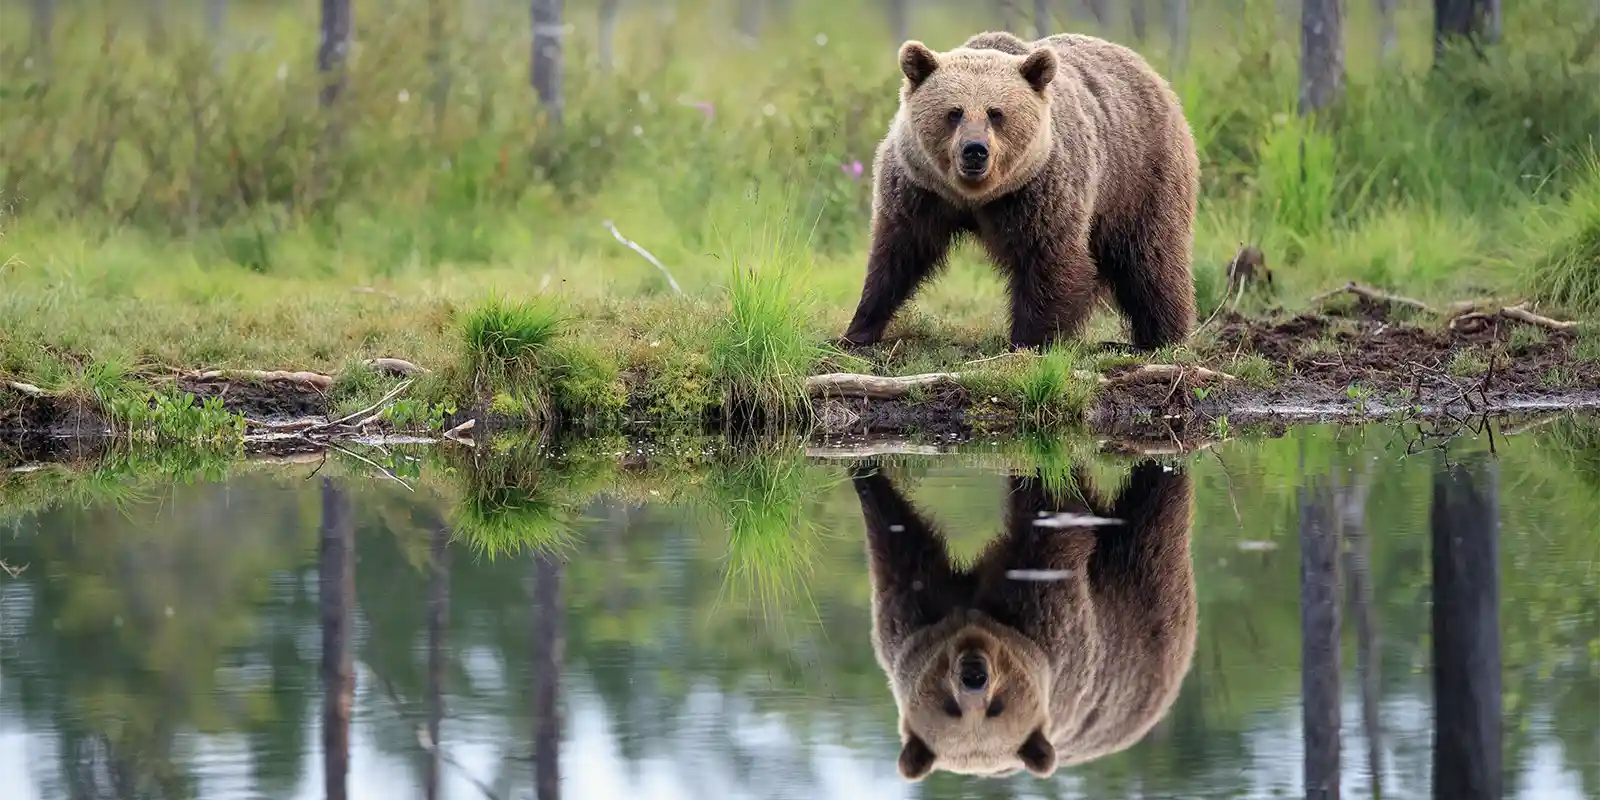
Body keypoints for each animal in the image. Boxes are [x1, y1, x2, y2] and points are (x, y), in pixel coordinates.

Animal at [840, 30, 1200, 352]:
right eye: (954, 112)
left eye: (996, 113)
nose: (974, 150)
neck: (974, 196)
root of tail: (1146, 69)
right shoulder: (920, 191)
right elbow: (897, 254)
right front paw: (858, 330)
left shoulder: (1037, 191)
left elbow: (1050, 260)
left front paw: (1029, 341)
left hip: (1140, 177)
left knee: (1150, 261)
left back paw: (1159, 338)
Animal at [848, 457, 1197, 781]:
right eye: (950, 707)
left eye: (997, 707)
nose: (974, 675)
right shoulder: (912, 622)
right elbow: (901, 548)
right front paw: (866, 475)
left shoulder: (1049, 617)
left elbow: (1053, 516)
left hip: (1141, 601)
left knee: (1154, 512)